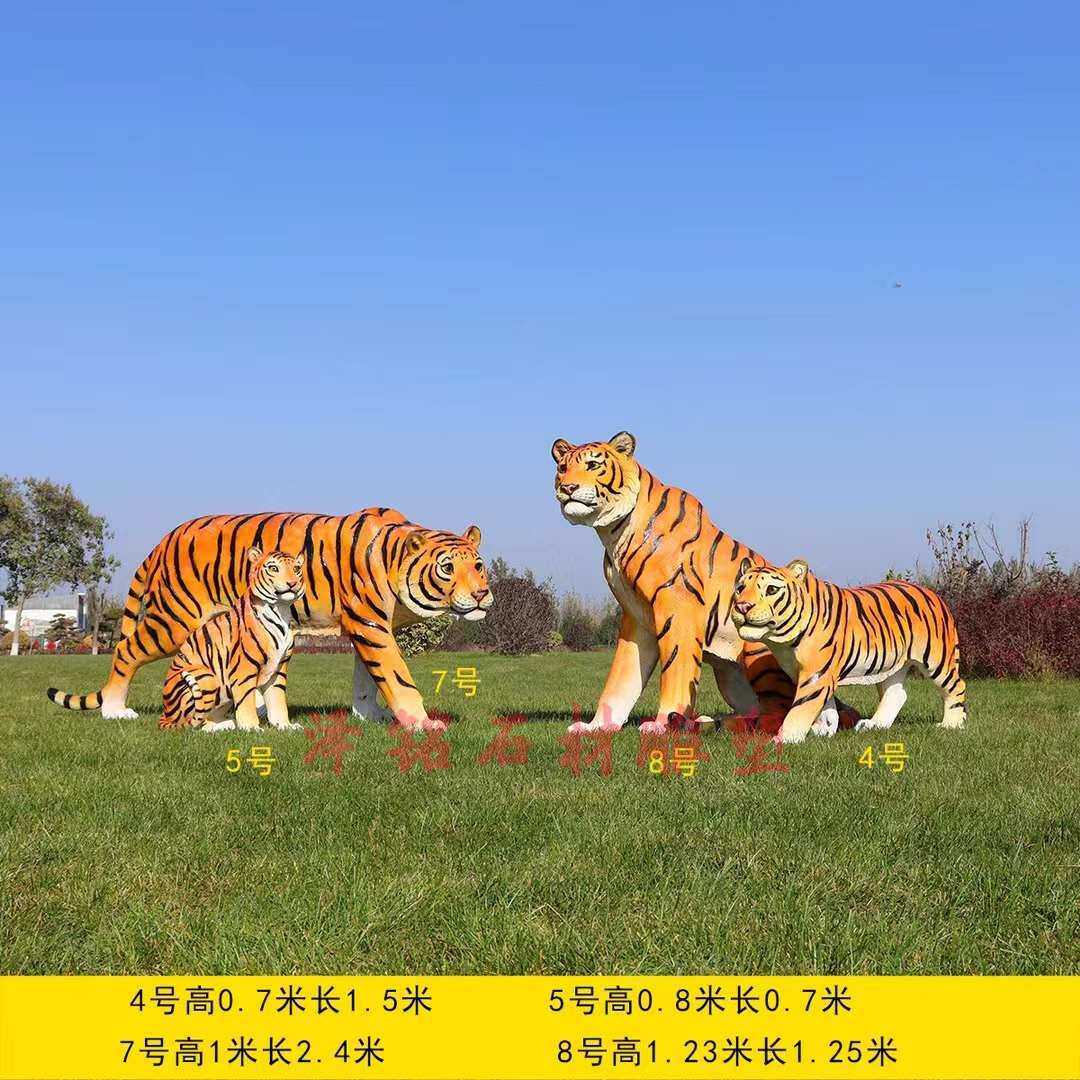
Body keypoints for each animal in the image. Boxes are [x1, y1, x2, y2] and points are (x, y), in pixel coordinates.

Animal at [158, 548, 305, 732]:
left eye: (297, 569)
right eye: (274, 568)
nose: (292, 583)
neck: (281, 610)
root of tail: (165, 715)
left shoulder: (278, 668)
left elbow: (277, 701)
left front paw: (285, 726)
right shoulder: (244, 670)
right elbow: (246, 701)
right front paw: (252, 728)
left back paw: (230, 724)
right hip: (206, 676)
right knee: (194, 725)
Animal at [551, 431, 860, 735]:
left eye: (593, 465)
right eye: (562, 468)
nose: (567, 488)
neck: (614, 532)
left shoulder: (677, 611)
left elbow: (675, 671)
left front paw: (661, 724)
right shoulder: (636, 619)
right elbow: (621, 678)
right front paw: (597, 726)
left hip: (760, 655)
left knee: (783, 714)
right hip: (730, 677)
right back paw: (706, 720)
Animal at [731, 557, 967, 744]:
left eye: (771, 590)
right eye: (740, 589)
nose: (742, 606)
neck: (782, 640)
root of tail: (932, 594)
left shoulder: (815, 674)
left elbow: (801, 708)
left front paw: (784, 739)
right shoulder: (814, 674)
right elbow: (825, 707)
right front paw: (823, 730)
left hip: (937, 660)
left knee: (956, 686)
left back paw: (951, 725)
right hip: (893, 664)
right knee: (896, 694)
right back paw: (873, 725)